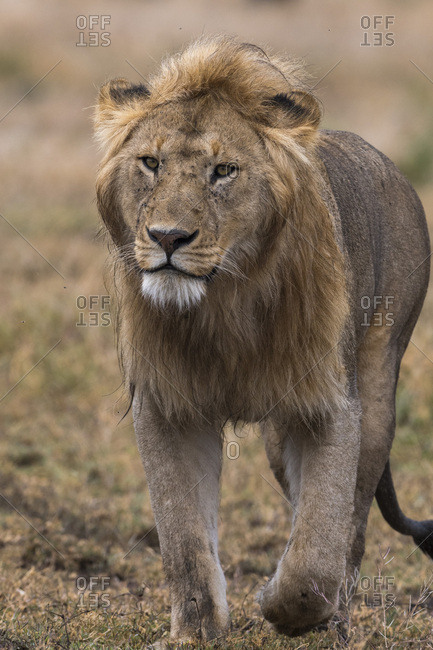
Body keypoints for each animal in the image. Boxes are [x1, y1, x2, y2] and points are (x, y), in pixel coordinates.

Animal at [94, 36, 432, 643]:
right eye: (151, 163)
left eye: (224, 171)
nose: (167, 237)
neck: (223, 303)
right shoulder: (169, 407)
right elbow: (183, 539)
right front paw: (195, 632)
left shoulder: (330, 405)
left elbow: (317, 550)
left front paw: (284, 605)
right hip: (278, 439)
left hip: (375, 392)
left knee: (352, 527)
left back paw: (336, 623)